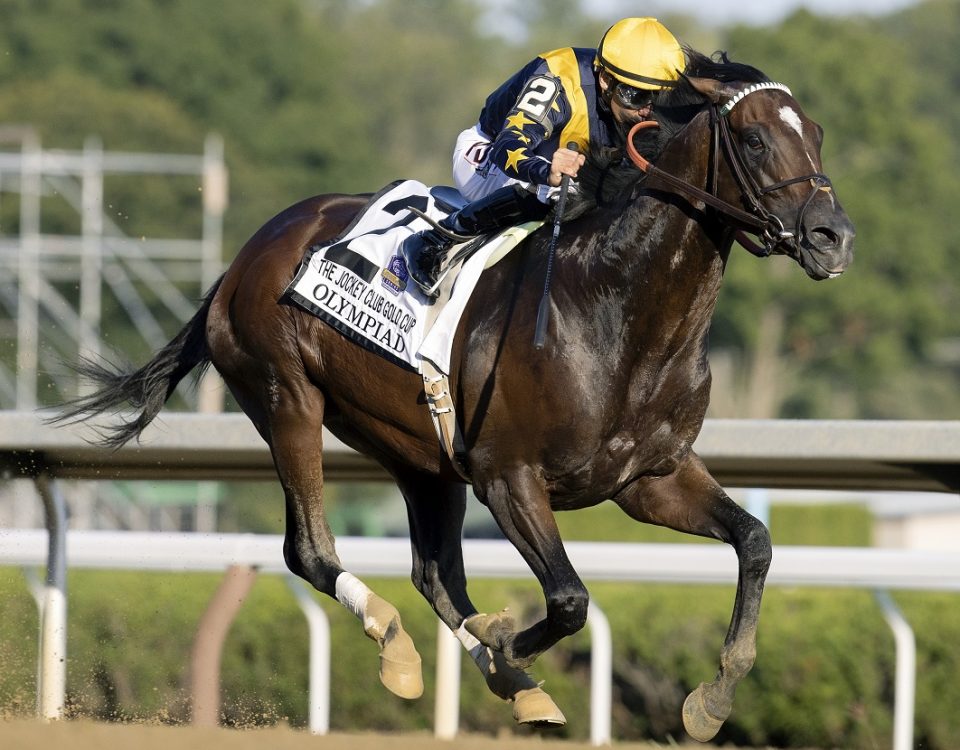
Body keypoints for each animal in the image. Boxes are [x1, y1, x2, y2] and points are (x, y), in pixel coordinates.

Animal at [58, 51, 856, 740]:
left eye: (817, 133)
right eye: (754, 139)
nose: (832, 236)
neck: (614, 310)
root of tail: (242, 259)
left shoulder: (648, 479)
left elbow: (755, 542)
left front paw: (711, 699)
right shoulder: (509, 476)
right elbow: (569, 601)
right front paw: (506, 644)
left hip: (419, 454)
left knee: (434, 574)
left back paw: (504, 681)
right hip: (288, 399)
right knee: (311, 551)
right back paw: (402, 644)